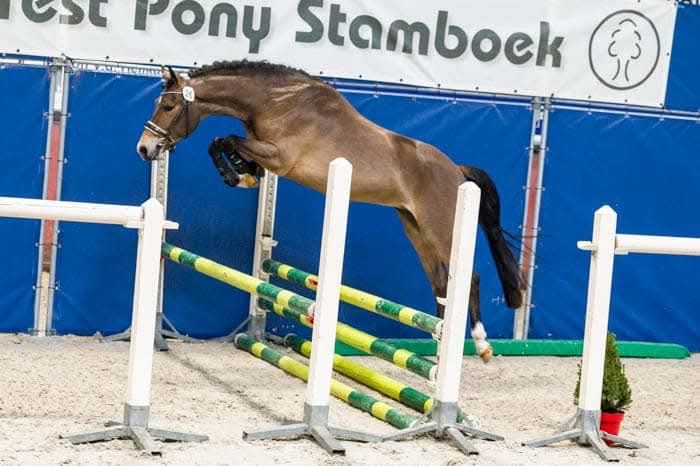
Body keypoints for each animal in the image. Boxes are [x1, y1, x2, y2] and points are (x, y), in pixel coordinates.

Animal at [136, 61, 524, 362]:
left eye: (168, 107)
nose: (145, 148)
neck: (278, 102)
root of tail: (456, 170)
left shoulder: (280, 156)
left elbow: (227, 139)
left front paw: (237, 174)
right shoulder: (267, 152)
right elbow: (221, 142)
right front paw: (242, 173)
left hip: (441, 228)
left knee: (470, 278)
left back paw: (480, 343)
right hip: (415, 229)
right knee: (441, 283)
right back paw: (439, 344)